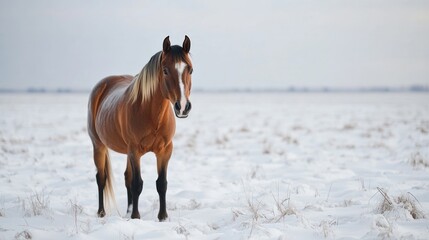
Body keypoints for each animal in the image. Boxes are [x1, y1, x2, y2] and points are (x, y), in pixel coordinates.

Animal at [87, 34, 192, 220]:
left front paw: (162, 217)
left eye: (191, 70)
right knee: (101, 178)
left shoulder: (165, 150)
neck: (151, 115)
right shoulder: (135, 151)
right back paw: (101, 212)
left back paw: (128, 211)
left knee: (126, 177)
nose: (183, 107)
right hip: (99, 146)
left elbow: (161, 183)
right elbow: (137, 184)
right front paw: (136, 217)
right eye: (165, 70)